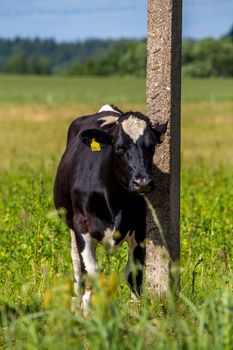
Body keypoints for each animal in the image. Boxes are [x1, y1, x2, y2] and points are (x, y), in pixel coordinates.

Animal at [53, 104, 167, 314]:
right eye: (119, 147)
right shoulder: (82, 225)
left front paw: (137, 309)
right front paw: (88, 311)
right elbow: (90, 270)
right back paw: (77, 300)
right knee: (76, 263)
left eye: (152, 146)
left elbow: (133, 272)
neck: (115, 201)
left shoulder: (140, 227)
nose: (142, 182)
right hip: (71, 224)